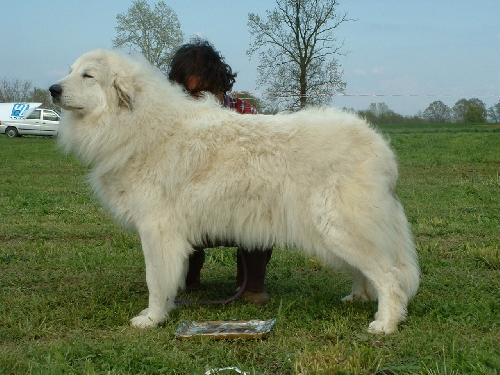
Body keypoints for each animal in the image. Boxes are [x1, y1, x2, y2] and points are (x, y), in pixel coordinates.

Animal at [49, 50, 418, 334]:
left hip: (340, 228)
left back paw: (386, 323)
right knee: (368, 271)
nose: (52, 89)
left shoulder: (156, 229)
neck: (139, 123)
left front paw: (152, 318)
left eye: (88, 75)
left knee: (390, 276)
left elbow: (155, 279)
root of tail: (380, 147)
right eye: (70, 70)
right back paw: (359, 298)